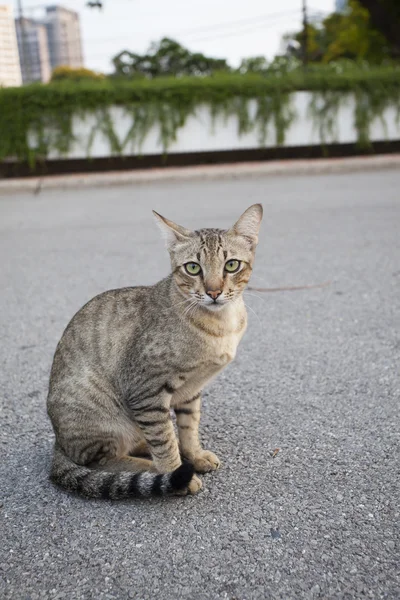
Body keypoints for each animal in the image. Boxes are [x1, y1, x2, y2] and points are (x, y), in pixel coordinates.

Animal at [46, 204, 262, 500]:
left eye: (232, 265)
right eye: (193, 268)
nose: (214, 291)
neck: (220, 325)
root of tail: (59, 442)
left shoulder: (191, 389)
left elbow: (188, 427)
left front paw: (194, 455)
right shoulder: (145, 392)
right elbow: (164, 440)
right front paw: (176, 473)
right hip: (100, 413)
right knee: (103, 461)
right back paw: (155, 470)